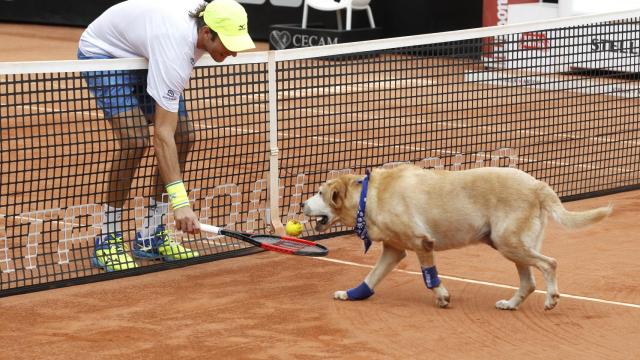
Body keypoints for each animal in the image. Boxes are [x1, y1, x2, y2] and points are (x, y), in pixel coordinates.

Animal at [302, 165, 612, 310]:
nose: (302, 205)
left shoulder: (422, 243)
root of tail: (538, 185)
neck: (369, 196)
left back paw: (552, 299)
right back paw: (510, 304)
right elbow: (371, 277)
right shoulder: (393, 250)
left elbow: (430, 278)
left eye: (319, 193)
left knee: (550, 264)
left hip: (510, 242)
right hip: (511, 245)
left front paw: (442, 296)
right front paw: (351, 294)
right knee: (529, 282)